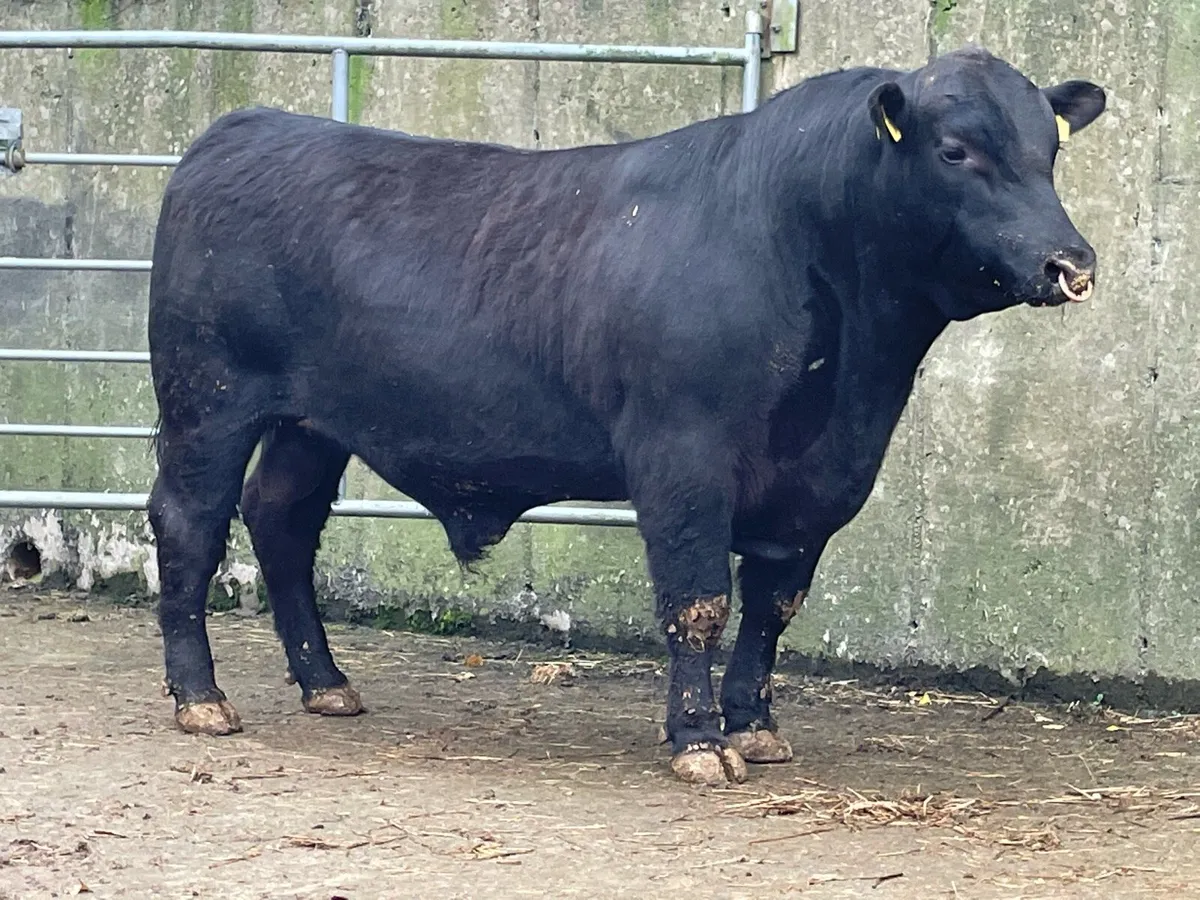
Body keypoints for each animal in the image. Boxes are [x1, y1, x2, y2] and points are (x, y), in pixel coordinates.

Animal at [146, 45, 1106, 786]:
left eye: (1049, 153)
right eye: (954, 151)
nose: (1071, 262)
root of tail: (245, 128)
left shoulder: (813, 485)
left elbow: (772, 607)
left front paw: (755, 725)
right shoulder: (681, 455)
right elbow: (699, 602)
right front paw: (699, 742)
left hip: (311, 424)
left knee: (281, 520)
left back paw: (325, 683)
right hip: (209, 398)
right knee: (191, 523)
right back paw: (202, 699)